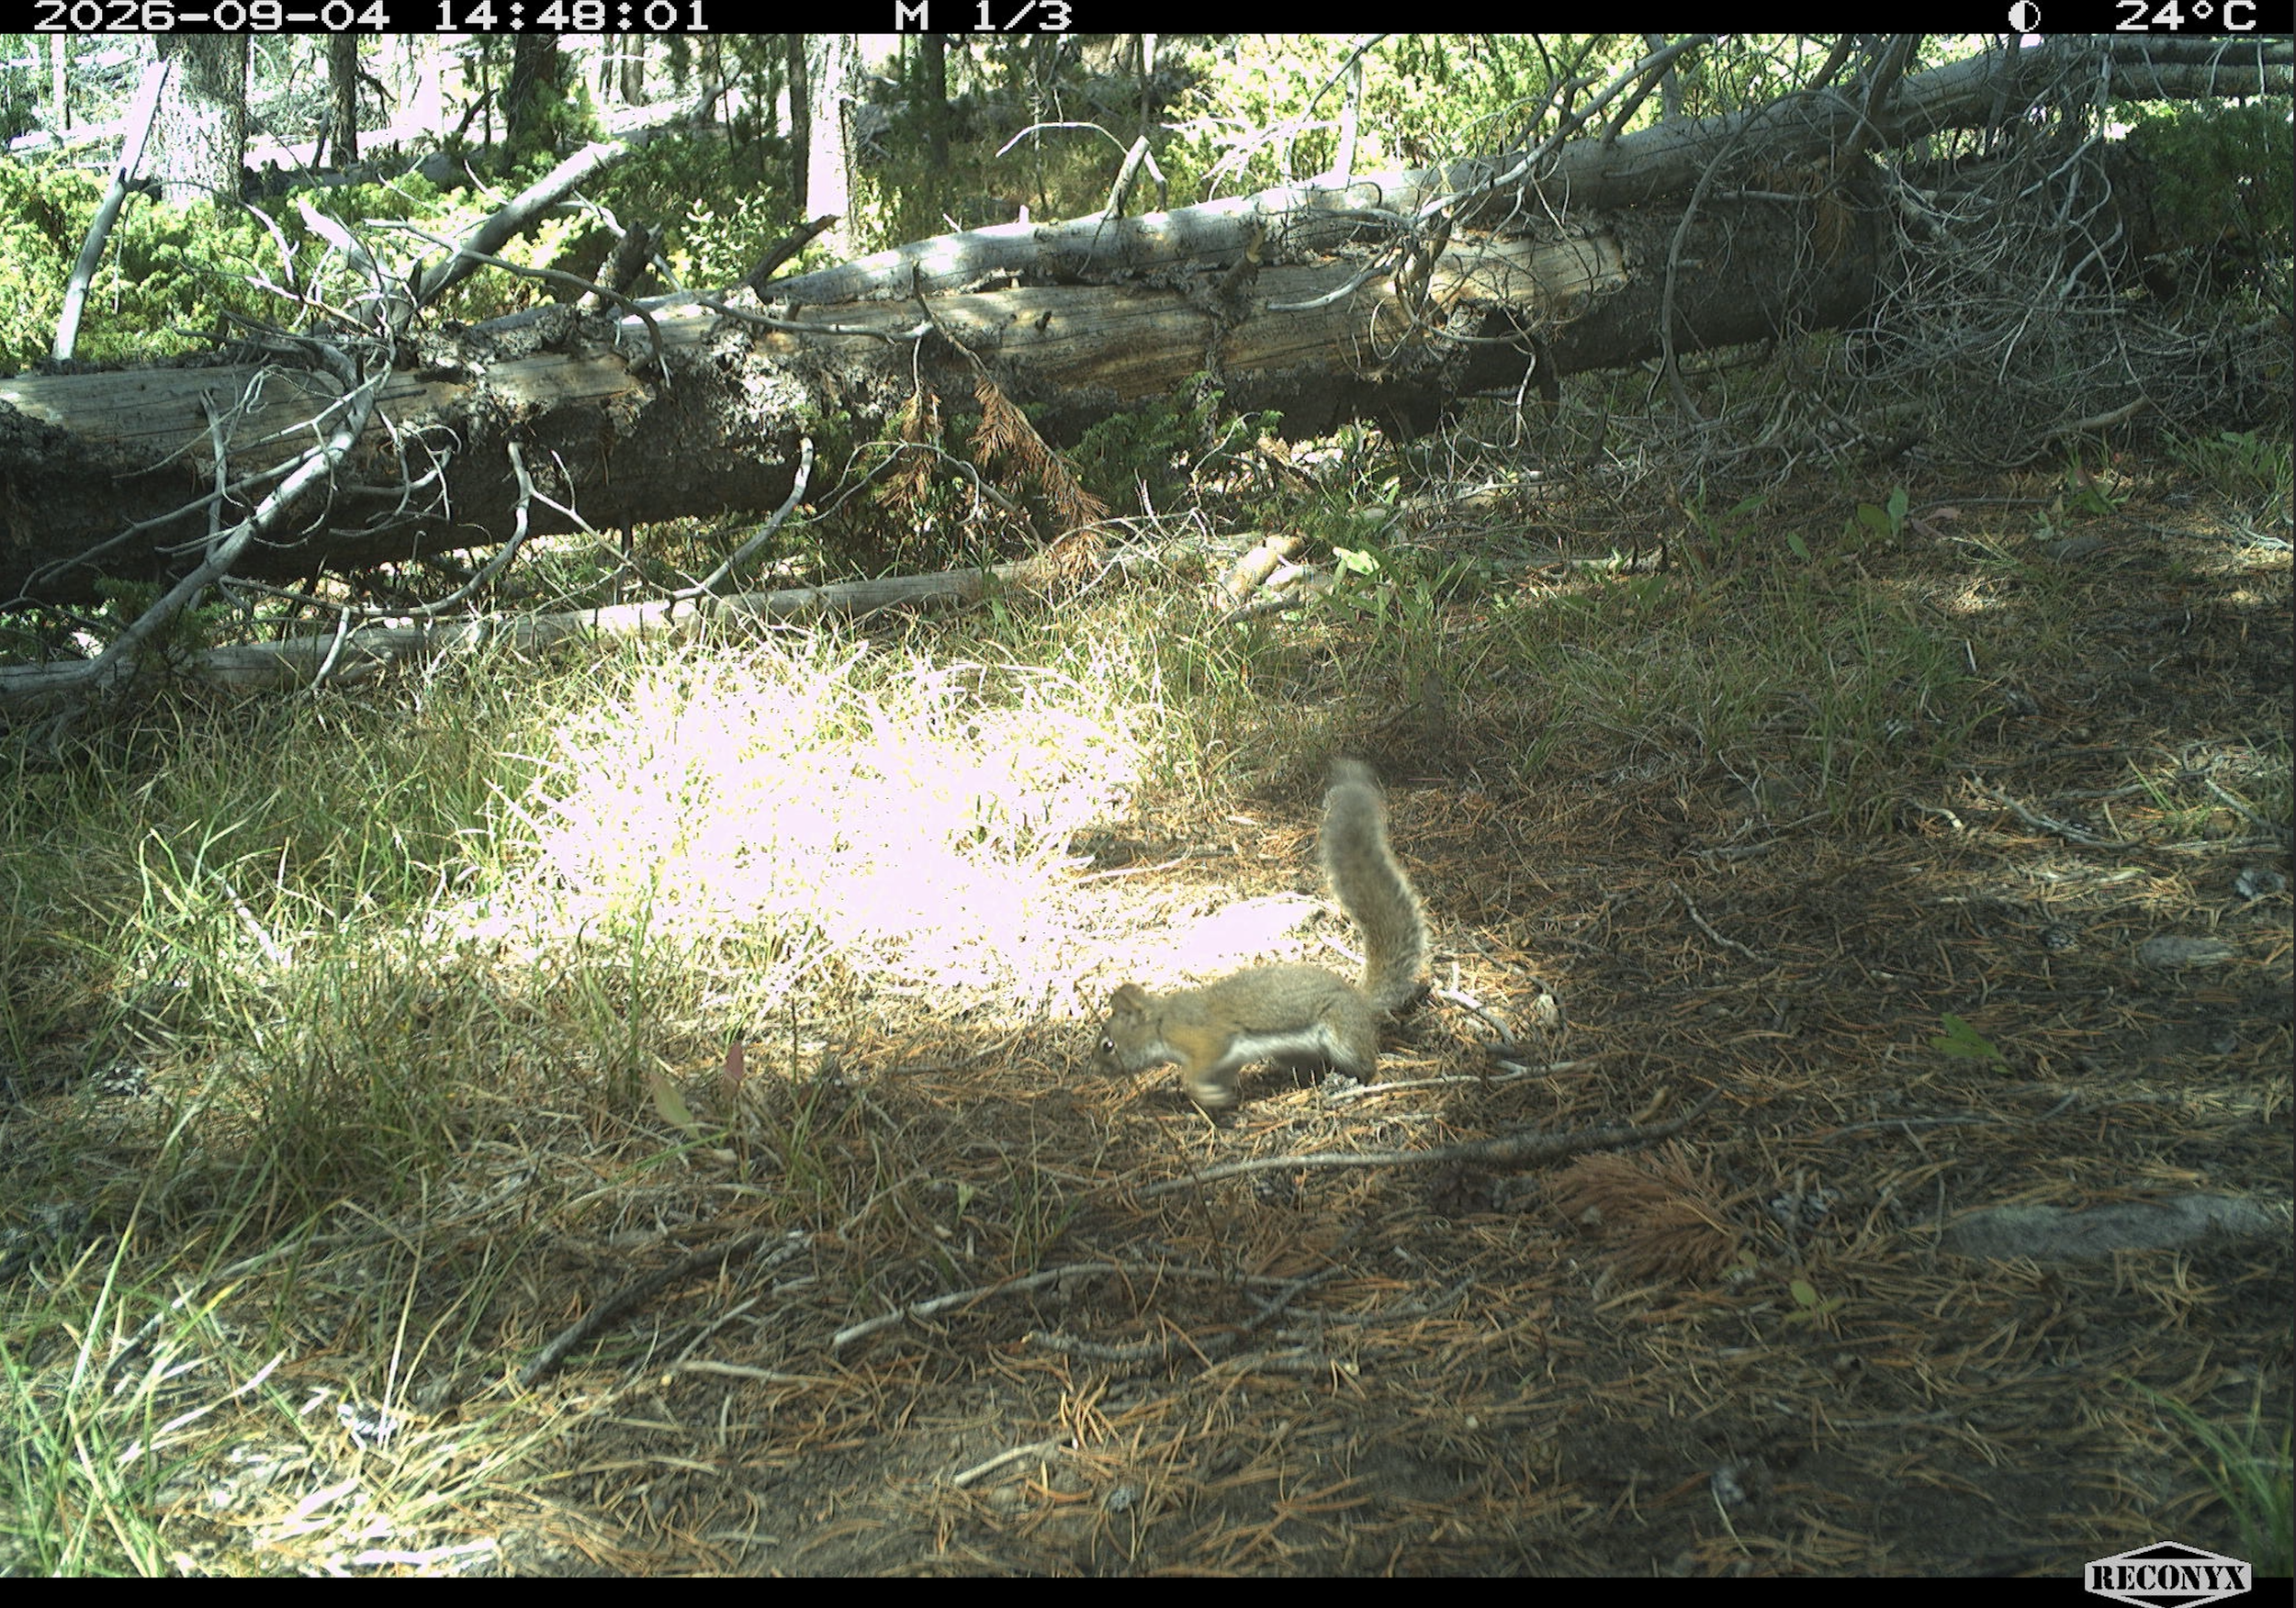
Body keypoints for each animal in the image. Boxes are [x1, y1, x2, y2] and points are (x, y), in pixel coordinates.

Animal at [1093, 761, 1428, 1112]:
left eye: (1107, 1045)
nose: (1095, 1068)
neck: (1162, 1021)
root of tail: (1359, 1000)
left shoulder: (1204, 1038)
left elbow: (1196, 1071)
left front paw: (1203, 1093)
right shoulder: (1223, 1063)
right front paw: (1217, 1098)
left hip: (1343, 1034)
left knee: (1363, 1060)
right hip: (1294, 1052)